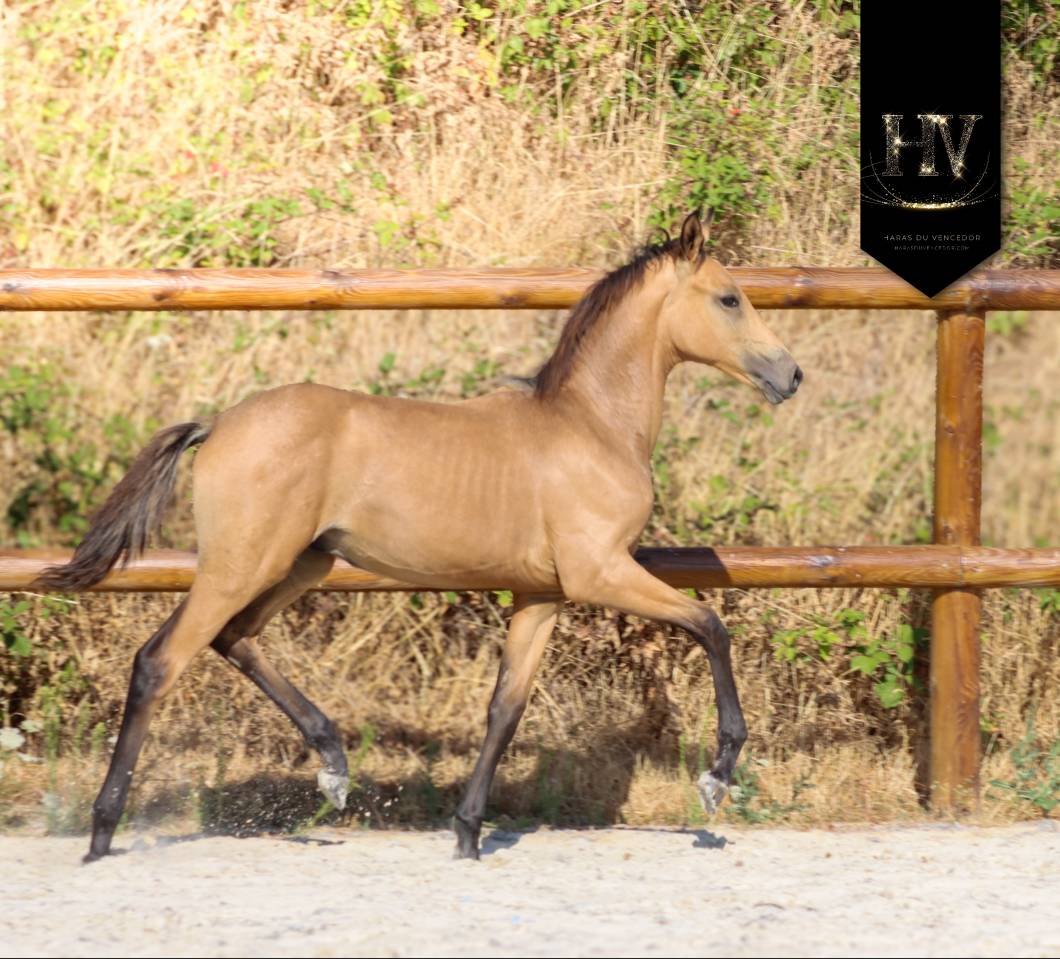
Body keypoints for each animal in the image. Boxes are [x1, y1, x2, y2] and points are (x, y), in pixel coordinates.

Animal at [37, 210, 802, 862]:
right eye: (729, 298)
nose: (790, 374)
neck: (591, 426)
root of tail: (219, 423)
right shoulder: (600, 571)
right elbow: (710, 624)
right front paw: (718, 775)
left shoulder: (542, 594)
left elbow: (505, 708)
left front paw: (467, 832)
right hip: (242, 563)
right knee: (159, 661)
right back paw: (103, 830)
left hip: (300, 564)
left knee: (233, 639)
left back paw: (334, 765)